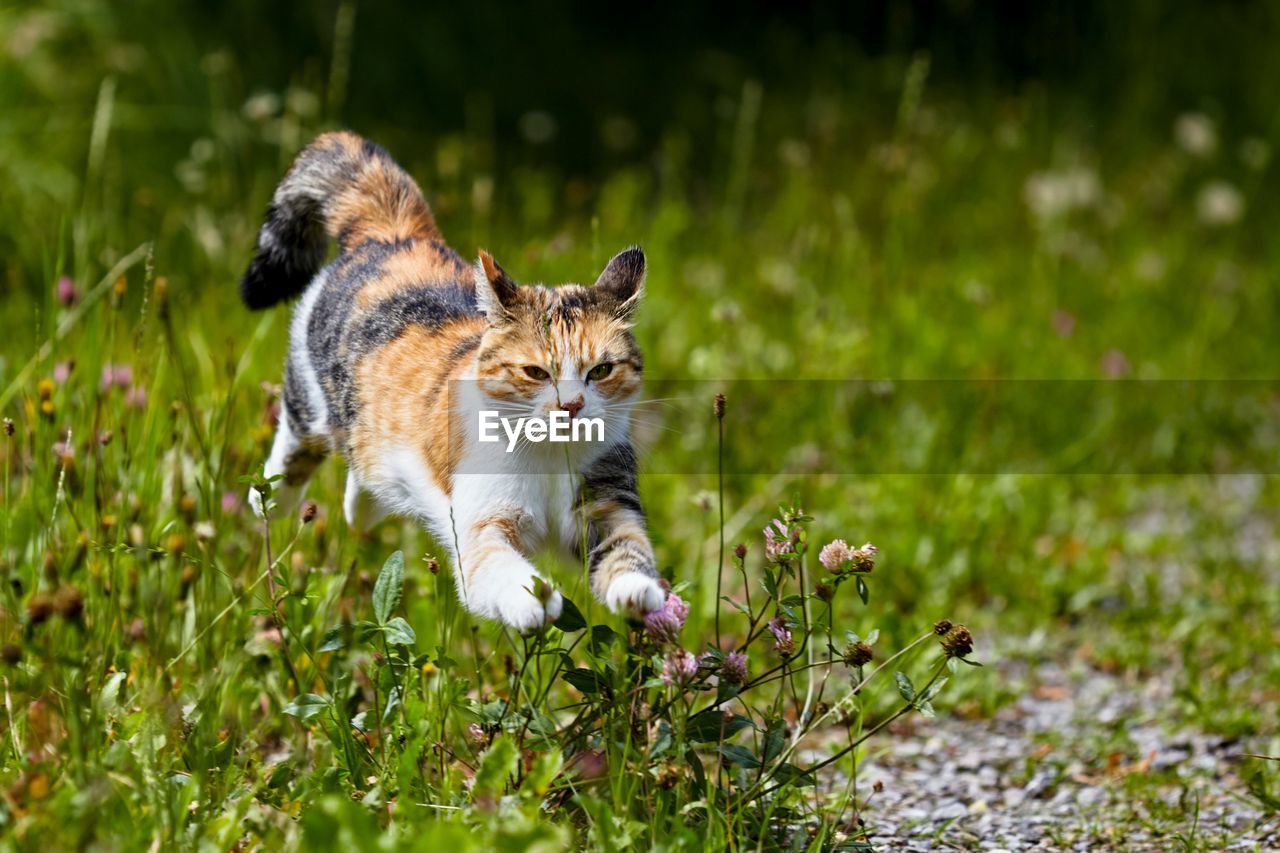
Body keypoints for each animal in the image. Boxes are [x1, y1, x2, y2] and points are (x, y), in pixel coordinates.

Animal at [240, 129, 665, 627]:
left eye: (600, 370)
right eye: (535, 372)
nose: (572, 406)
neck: (550, 458)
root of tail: (395, 232)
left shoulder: (607, 502)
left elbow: (627, 547)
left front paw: (638, 590)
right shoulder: (482, 525)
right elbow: (497, 565)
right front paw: (533, 600)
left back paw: (361, 504)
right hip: (310, 400)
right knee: (294, 445)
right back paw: (269, 498)